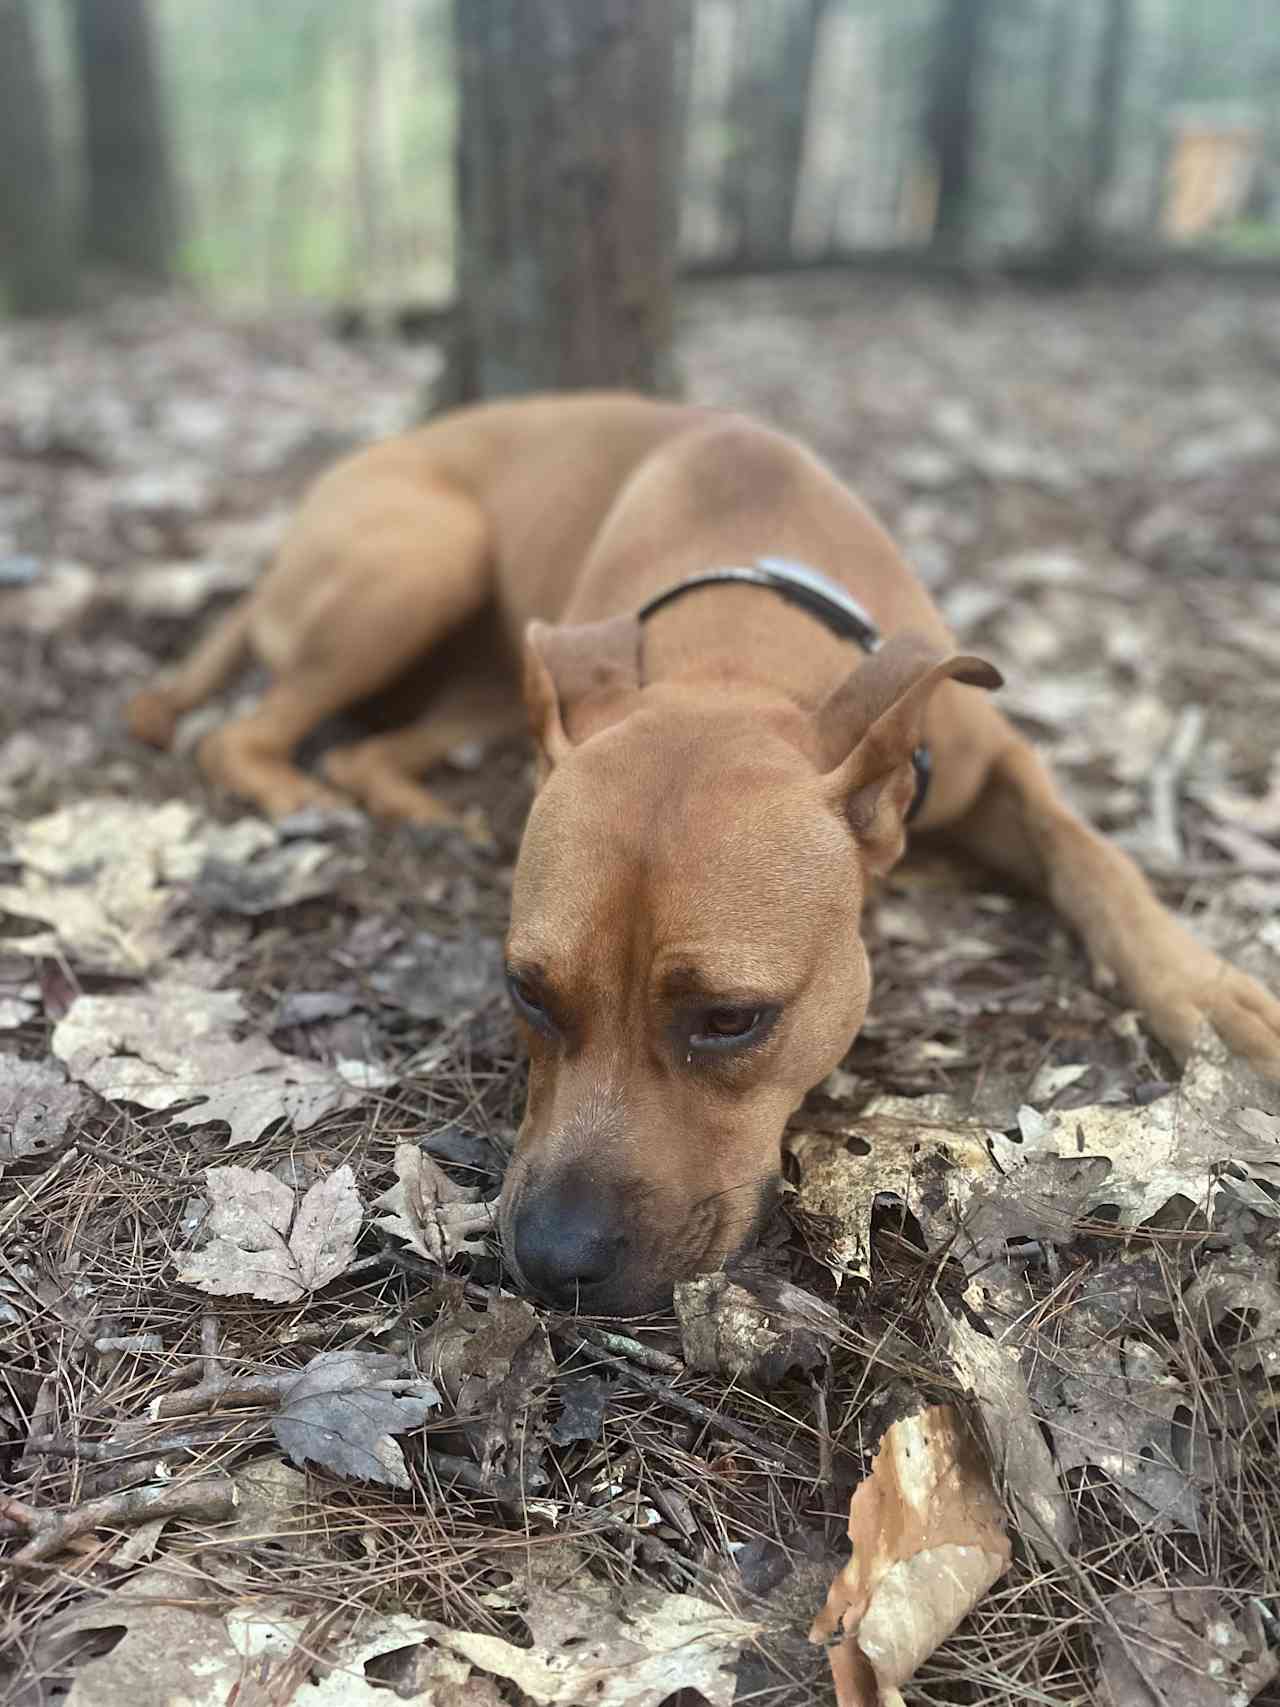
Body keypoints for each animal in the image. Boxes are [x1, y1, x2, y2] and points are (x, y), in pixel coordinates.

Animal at [128, 392, 1280, 1310]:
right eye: (527, 991)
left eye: (732, 1020)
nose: (555, 1262)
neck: (737, 654)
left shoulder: (993, 763)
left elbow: (1094, 855)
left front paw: (1207, 992)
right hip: (425, 559)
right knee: (245, 734)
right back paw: (301, 795)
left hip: (491, 667)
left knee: (363, 746)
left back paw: (416, 807)